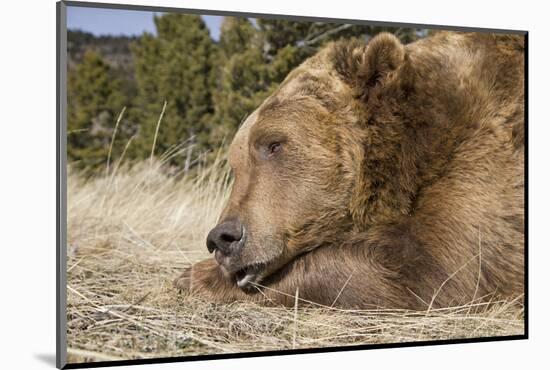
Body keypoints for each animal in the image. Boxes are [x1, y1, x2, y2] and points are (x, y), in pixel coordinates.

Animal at [176, 31, 528, 310]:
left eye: (273, 144)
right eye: (236, 164)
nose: (222, 238)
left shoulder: (484, 158)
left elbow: (437, 271)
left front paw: (197, 276)